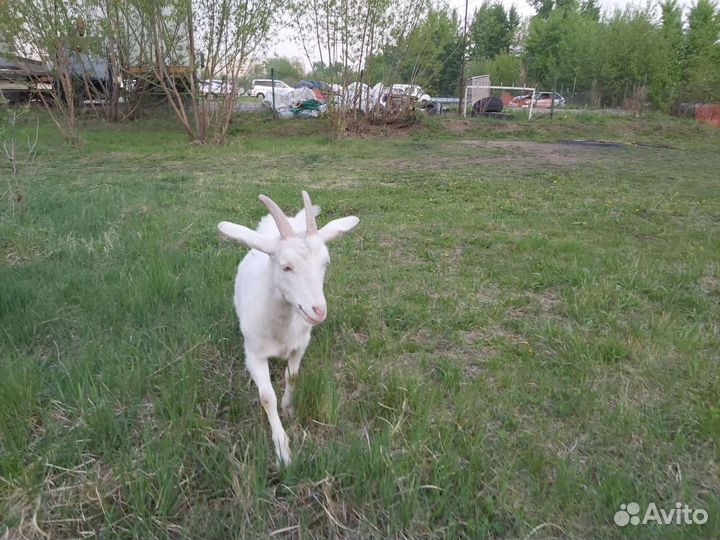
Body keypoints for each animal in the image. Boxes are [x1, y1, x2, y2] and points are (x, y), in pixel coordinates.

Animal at [218, 191, 359, 466]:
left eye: (325, 263)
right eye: (286, 266)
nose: (318, 311)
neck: (280, 330)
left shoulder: (300, 345)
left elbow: (291, 375)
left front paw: (288, 407)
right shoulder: (254, 354)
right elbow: (266, 397)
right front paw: (283, 450)